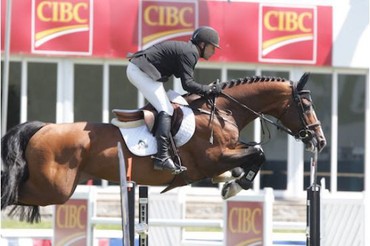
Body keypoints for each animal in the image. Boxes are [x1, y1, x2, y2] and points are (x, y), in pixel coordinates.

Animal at [0, 72, 326, 223]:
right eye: (306, 105)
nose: (320, 141)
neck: (222, 110)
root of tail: (43, 127)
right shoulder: (213, 158)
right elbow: (258, 154)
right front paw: (234, 187)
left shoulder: (228, 153)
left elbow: (251, 156)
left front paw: (229, 181)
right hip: (52, 189)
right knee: (11, 192)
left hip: (51, 188)